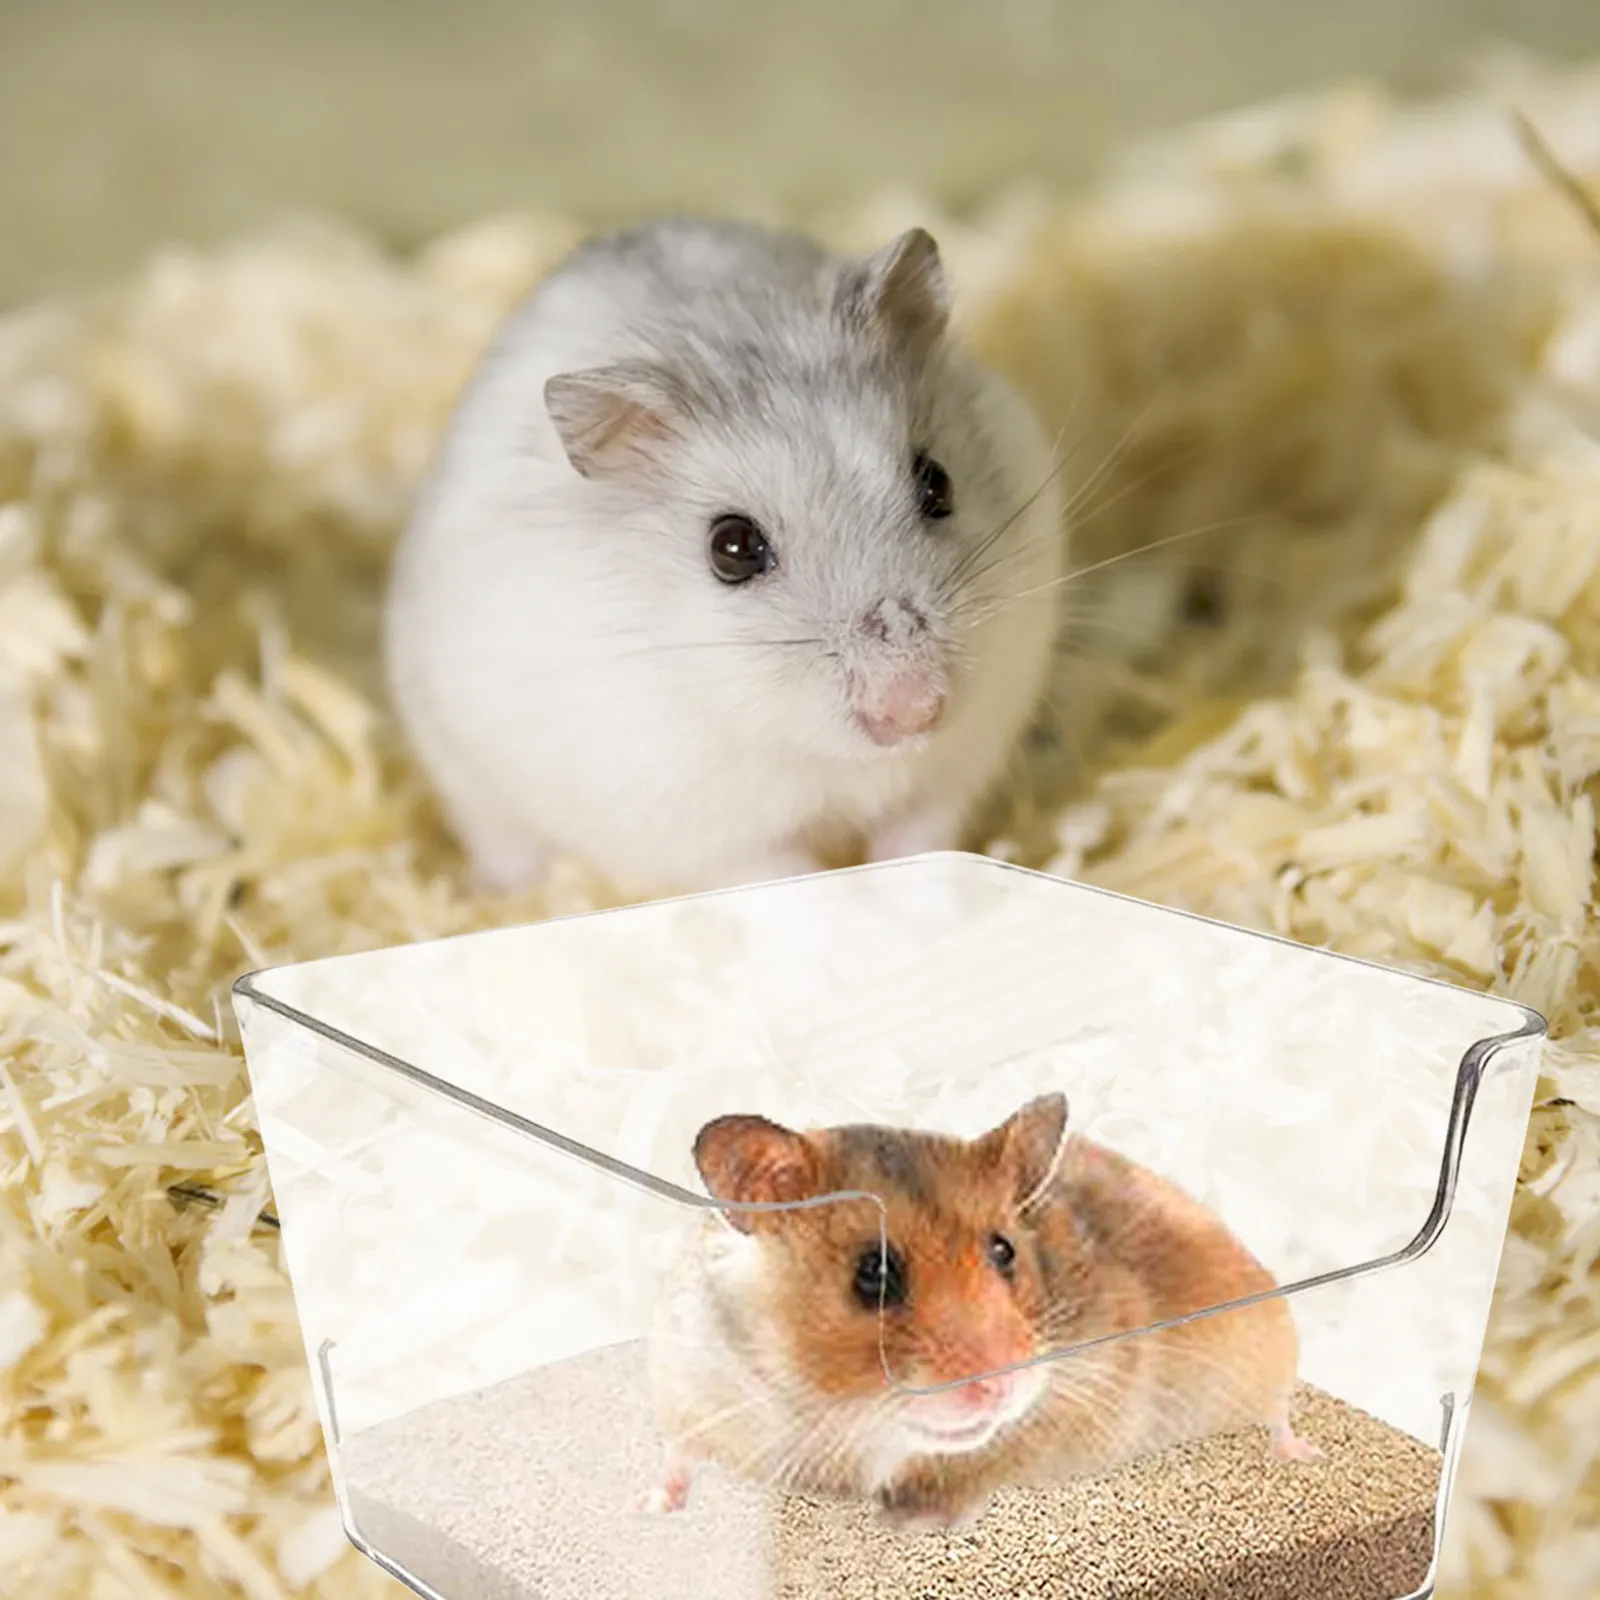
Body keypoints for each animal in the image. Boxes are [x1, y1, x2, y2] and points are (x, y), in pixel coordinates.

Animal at [383, 218, 1065, 896]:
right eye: (732, 548)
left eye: (937, 483)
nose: (915, 711)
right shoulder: (704, 832)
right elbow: (782, 872)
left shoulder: (958, 761)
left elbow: (922, 834)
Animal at [644, 1093, 1321, 1533]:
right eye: (874, 1273)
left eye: (1004, 1251)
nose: (1002, 1385)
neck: (836, 1416)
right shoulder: (690, 1383)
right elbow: (676, 1451)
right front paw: (649, 1507)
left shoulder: (1083, 1390)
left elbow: (982, 1468)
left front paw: (915, 1524)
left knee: (1279, 1410)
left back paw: (1304, 1454)